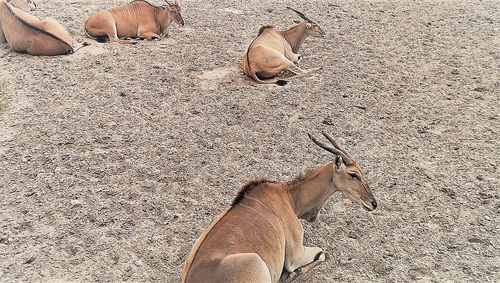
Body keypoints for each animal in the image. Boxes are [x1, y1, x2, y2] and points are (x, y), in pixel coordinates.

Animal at [182, 134, 376, 283]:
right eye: (353, 174)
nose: (374, 203)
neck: (288, 196)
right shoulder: (296, 255)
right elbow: (322, 253)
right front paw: (291, 274)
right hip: (256, 261)